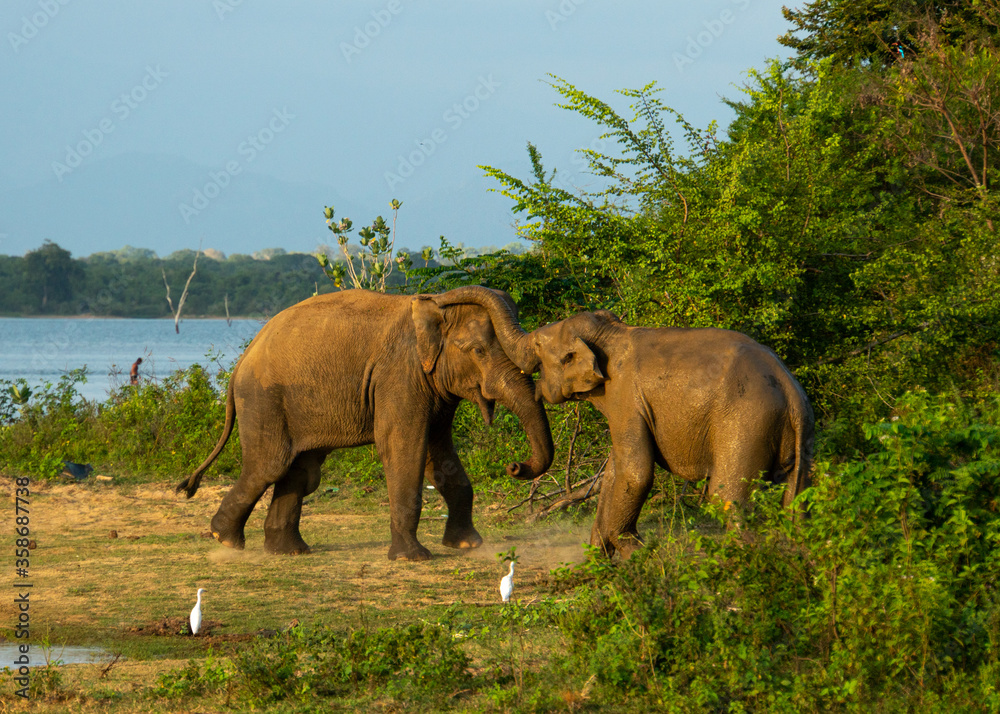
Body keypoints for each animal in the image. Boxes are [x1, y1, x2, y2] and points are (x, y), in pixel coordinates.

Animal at [175, 286, 553, 560]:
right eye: (478, 351)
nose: (515, 466)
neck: (432, 310)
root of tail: (240, 363)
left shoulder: (431, 387)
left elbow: (439, 452)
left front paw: (467, 546)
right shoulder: (399, 376)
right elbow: (403, 447)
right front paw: (412, 559)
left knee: (300, 470)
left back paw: (288, 551)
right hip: (263, 401)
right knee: (269, 465)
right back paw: (225, 540)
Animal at [495, 310, 815, 558]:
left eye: (537, 343)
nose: (513, 466)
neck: (610, 333)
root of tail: (791, 391)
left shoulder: (625, 396)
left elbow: (635, 473)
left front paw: (630, 549)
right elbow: (614, 473)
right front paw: (597, 563)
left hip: (746, 423)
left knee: (728, 498)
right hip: (800, 437)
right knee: (797, 503)